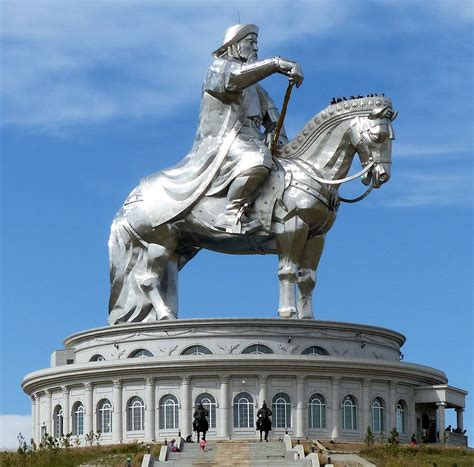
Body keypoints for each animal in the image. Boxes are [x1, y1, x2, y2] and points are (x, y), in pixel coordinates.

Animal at [108, 93, 396, 324]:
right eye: (378, 136)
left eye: (392, 138)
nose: (381, 176)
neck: (311, 170)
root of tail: (132, 198)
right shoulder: (293, 227)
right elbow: (287, 271)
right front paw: (287, 313)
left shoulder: (317, 236)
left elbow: (308, 278)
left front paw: (308, 318)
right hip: (161, 241)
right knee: (146, 279)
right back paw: (165, 316)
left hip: (180, 246)